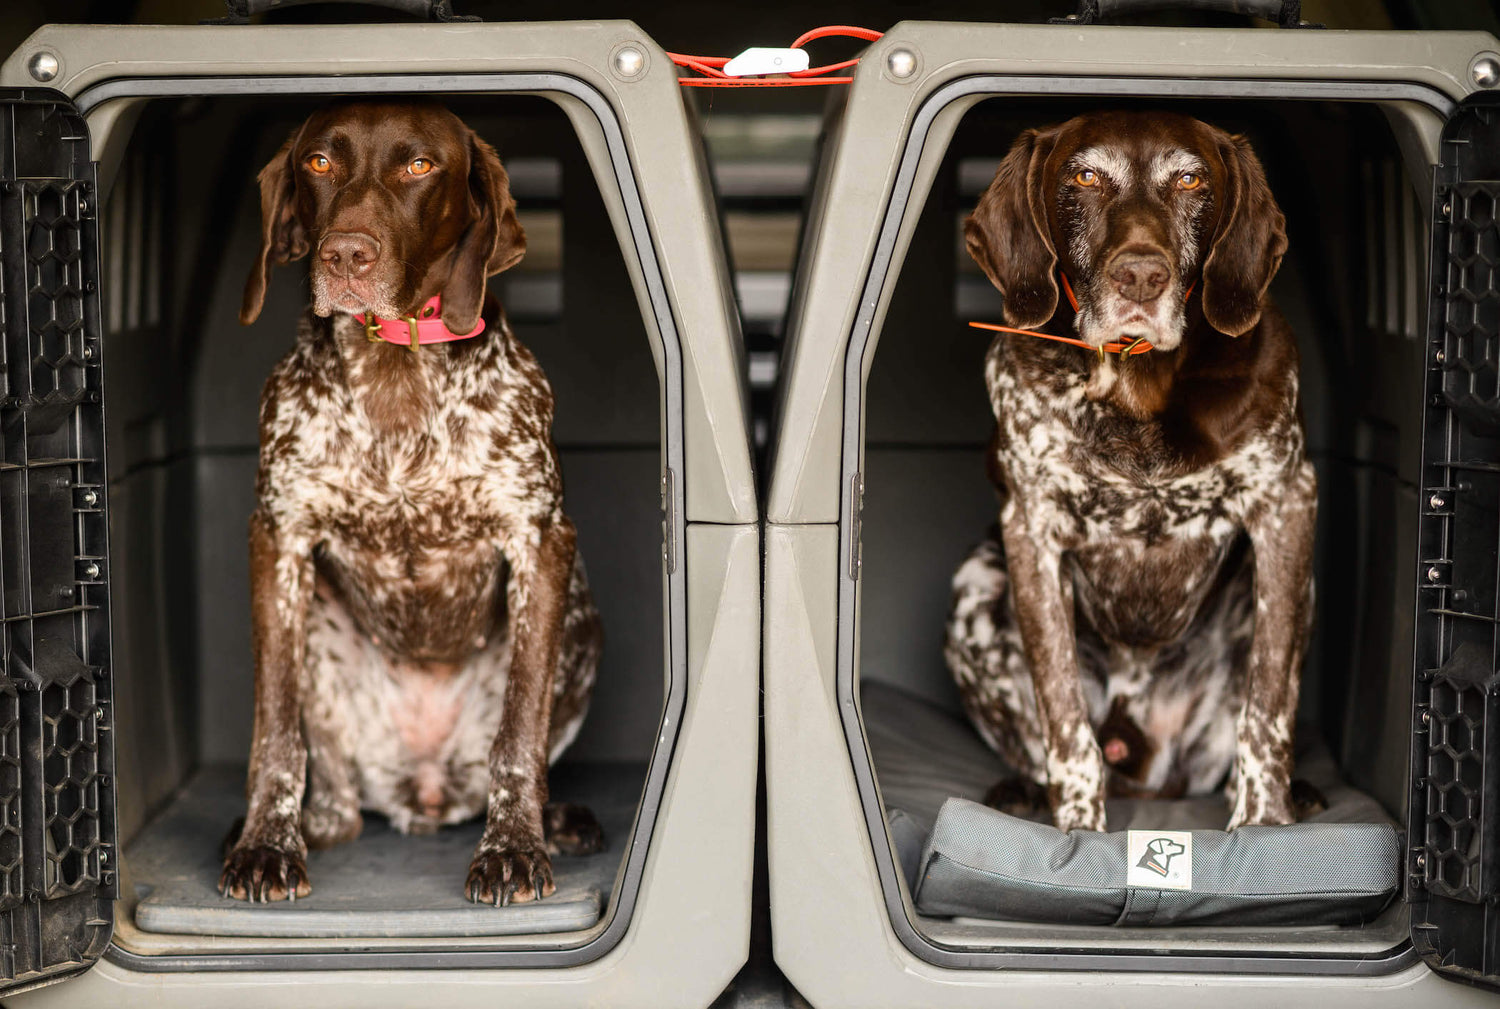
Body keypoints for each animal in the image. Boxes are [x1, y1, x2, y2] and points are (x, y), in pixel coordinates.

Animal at [219, 101, 603, 905]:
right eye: (320, 163)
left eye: (420, 166)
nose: (344, 256)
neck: (393, 363)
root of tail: (423, 792)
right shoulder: (279, 539)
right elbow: (275, 734)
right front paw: (267, 842)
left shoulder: (540, 540)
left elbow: (520, 734)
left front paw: (513, 846)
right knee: (334, 796)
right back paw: (309, 824)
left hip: (581, 623)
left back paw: (557, 820)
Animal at [942, 112, 1320, 833]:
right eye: (1086, 176)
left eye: (1191, 179)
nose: (1141, 276)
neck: (1139, 385)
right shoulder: (1031, 530)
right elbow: (1064, 717)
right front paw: (1077, 830)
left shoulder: (1286, 507)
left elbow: (1266, 710)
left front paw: (1262, 824)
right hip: (976, 583)